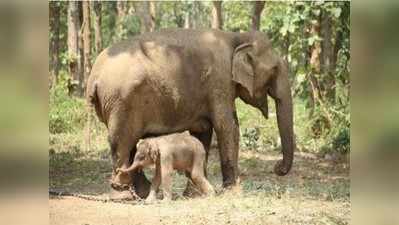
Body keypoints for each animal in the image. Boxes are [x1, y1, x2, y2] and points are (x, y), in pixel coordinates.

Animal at [86, 28, 296, 199]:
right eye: (275, 70)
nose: (278, 168)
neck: (237, 36)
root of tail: (93, 76)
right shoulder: (220, 81)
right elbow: (228, 126)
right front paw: (233, 192)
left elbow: (203, 132)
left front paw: (194, 194)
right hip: (120, 102)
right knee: (122, 143)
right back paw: (122, 195)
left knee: (129, 144)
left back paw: (142, 193)